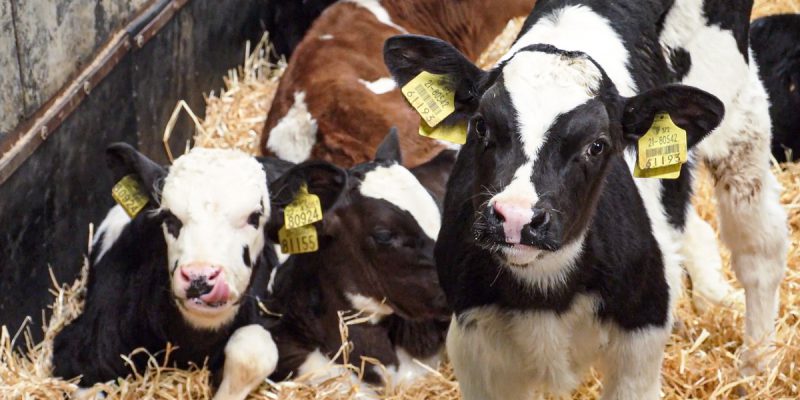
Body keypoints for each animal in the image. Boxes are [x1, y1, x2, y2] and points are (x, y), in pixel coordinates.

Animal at [384, 0, 788, 398]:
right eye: (480, 124)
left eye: (597, 145)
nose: (515, 217)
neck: (546, 292)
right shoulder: (473, 345)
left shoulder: (641, 339)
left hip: (739, 107)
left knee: (759, 247)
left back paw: (756, 366)